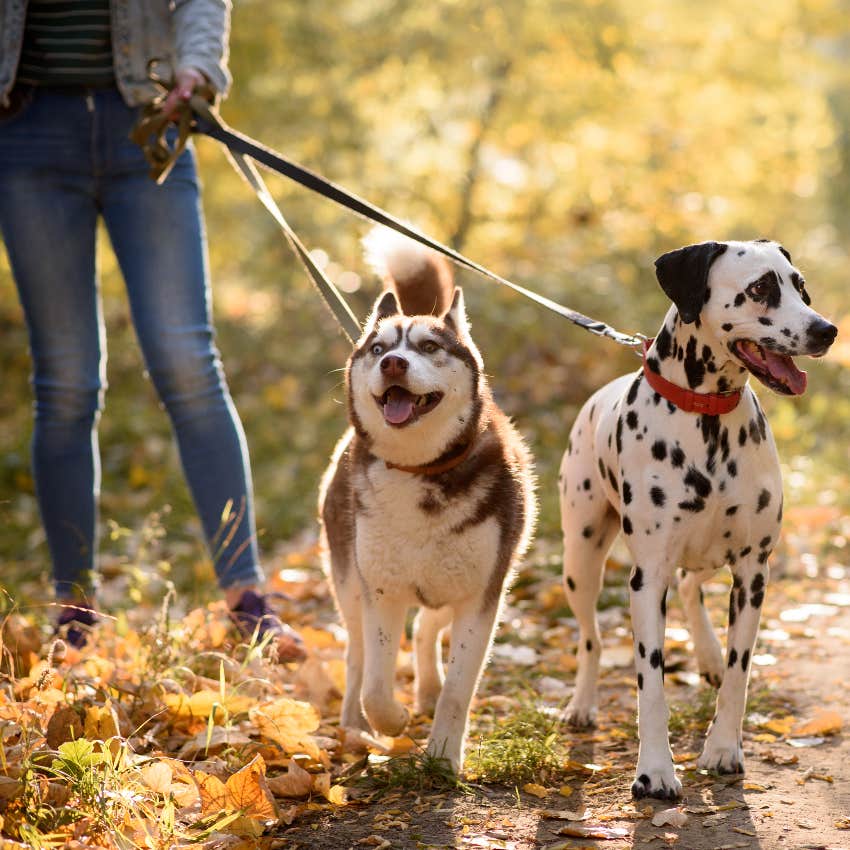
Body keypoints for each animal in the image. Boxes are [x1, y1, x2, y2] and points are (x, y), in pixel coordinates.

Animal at [322, 230, 532, 768]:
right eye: (378, 348)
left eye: (430, 346)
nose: (394, 362)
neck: (420, 472)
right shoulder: (381, 591)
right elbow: (376, 683)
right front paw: (390, 723)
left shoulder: (482, 595)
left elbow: (461, 688)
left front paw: (442, 757)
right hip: (349, 579)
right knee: (356, 657)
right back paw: (354, 727)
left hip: (451, 580)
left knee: (425, 629)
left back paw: (428, 691)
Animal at [556, 238, 836, 796]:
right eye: (760, 288)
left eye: (801, 286)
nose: (826, 330)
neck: (707, 421)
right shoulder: (647, 579)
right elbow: (651, 684)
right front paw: (654, 771)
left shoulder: (752, 572)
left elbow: (738, 673)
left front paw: (724, 748)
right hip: (580, 560)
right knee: (591, 638)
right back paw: (582, 704)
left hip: (710, 555)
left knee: (690, 586)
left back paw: (706, 655)